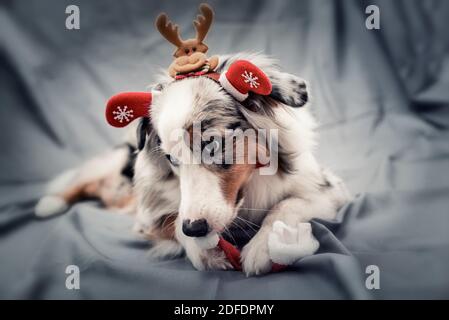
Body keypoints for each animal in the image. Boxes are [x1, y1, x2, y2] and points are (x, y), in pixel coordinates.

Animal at [36, 52, 350, 276]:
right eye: (171, 158)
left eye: (213, 145)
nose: (195, 229)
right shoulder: (152, 213)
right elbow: (173, 221)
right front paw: (203, 251)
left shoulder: (329, 190)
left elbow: (287, 205)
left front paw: (264, 247)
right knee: (81, 180)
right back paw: (50, 203)